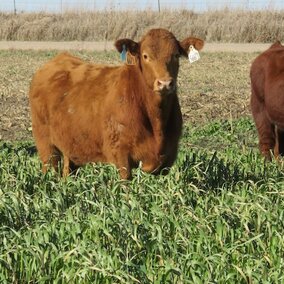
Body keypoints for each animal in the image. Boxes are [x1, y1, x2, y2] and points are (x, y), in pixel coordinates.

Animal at [29, 29, 204, 180]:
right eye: (145, 56)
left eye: (176, 55)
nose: (165, 83)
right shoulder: (121, 153)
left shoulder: (168, 155)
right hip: (46, 145)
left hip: (71, 145)